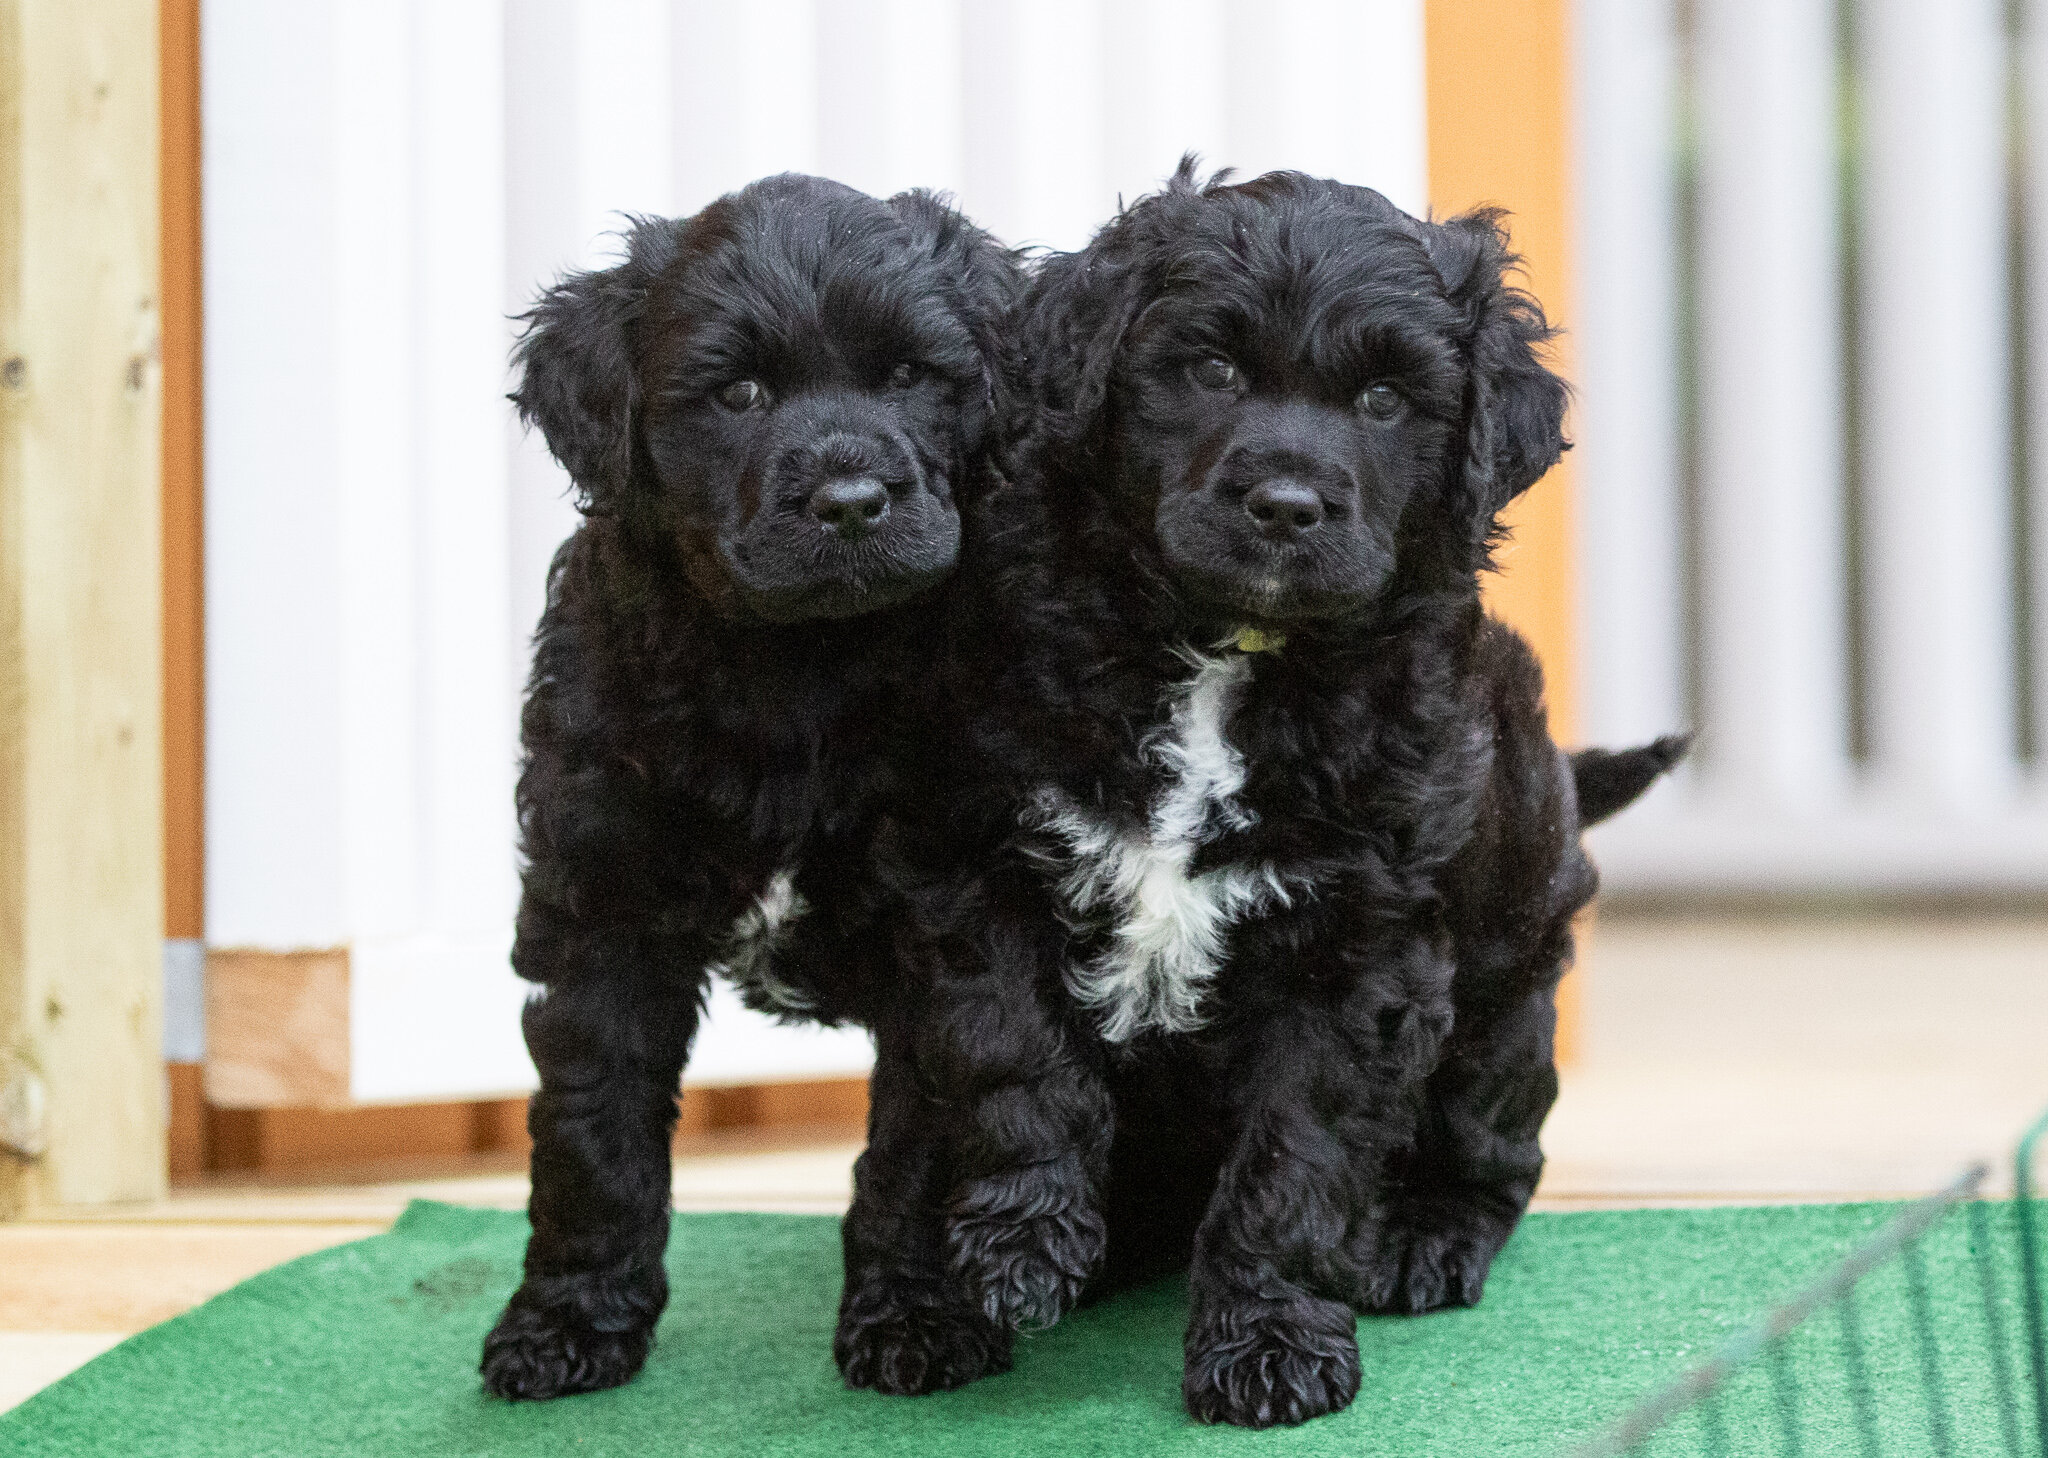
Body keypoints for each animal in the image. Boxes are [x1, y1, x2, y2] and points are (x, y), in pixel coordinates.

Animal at [481, 170, 1024, 1400]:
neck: (796, 670)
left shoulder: (945, 919)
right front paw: (567, 1321)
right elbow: (591, 1130)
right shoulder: (602, 909)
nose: (853, 499)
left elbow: (915, 1147)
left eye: (909, 376)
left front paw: (914, 1318)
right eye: (737, 393)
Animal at [937, 162, 1687, 1425]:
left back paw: (1427, 1237)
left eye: (1385, 400)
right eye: (1210, 369)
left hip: (1506, 993)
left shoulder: (1359, 950)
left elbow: (1297, 1157)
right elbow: (1014, 1059)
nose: (1286, 505)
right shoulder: (999, 858)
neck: (1228, 654)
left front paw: (1270, 1341)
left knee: (1498, 1150)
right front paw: (1016, 1247)